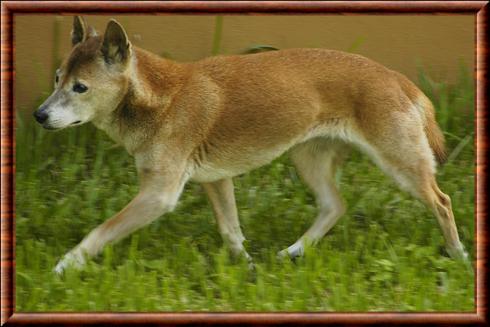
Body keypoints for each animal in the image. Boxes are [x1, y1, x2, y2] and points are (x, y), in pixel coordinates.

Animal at [32, 16, 468, 276]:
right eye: (56, 78)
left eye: (80, 87)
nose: (39, 115)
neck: (160, 98)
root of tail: (396, 77)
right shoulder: (215, 180)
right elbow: (231, 230)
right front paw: (248, 269)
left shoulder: (158, 195)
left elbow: (99, 232)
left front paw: (63, 266)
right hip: (307, 160)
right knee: (335, 205)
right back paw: (294, 251)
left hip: (400, 165)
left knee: (442, 201)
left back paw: (458, 255)